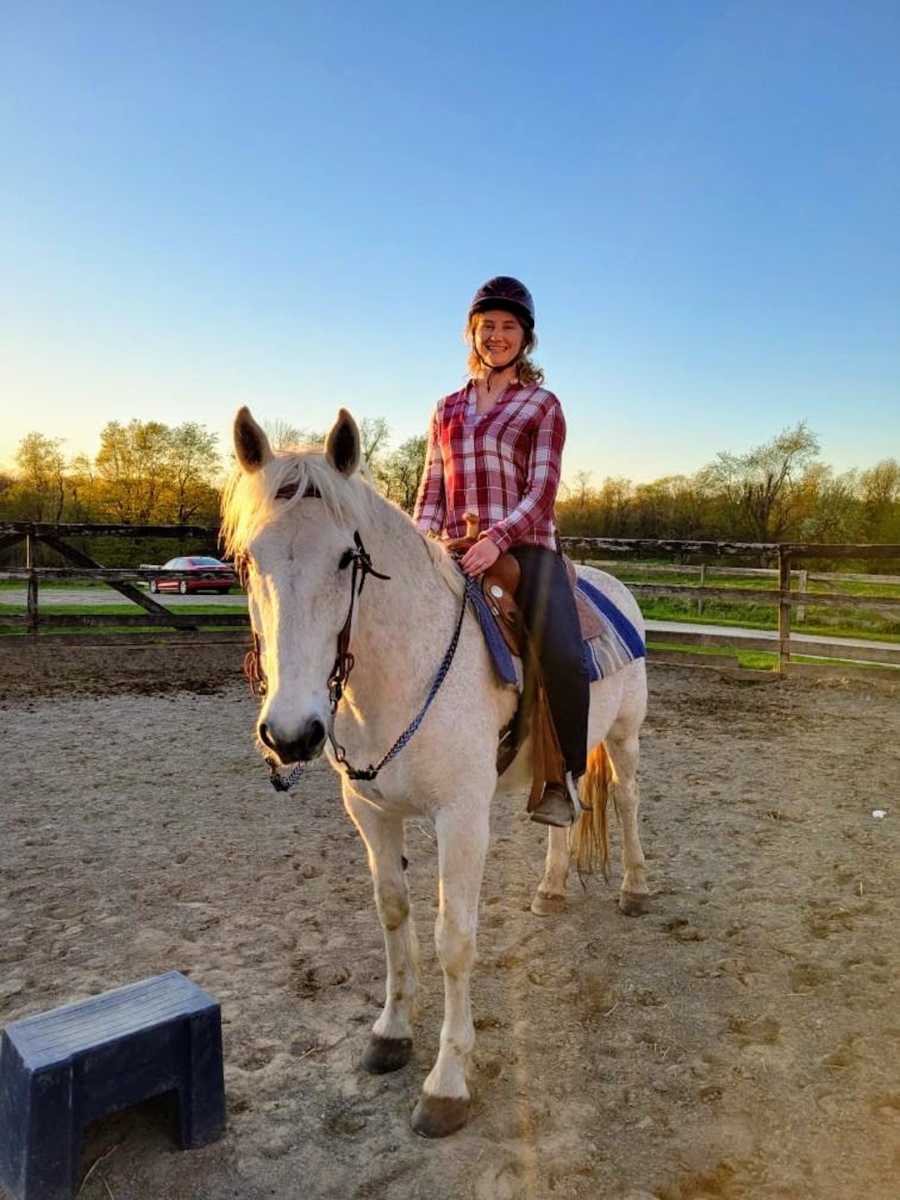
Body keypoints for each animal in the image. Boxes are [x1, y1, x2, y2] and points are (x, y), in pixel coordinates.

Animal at [223, 408, 652, 1137]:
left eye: (347, 558)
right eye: (251, 558)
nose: (292, 733)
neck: (402, 669)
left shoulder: (461, 820)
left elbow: (454, 938)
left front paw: (448, 1083)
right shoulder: (371, 813)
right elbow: (393, 915)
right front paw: (392, 1032)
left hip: (624, 739)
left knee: (624, 804)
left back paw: (635, 888)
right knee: (563, 813)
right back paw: (551, 888)